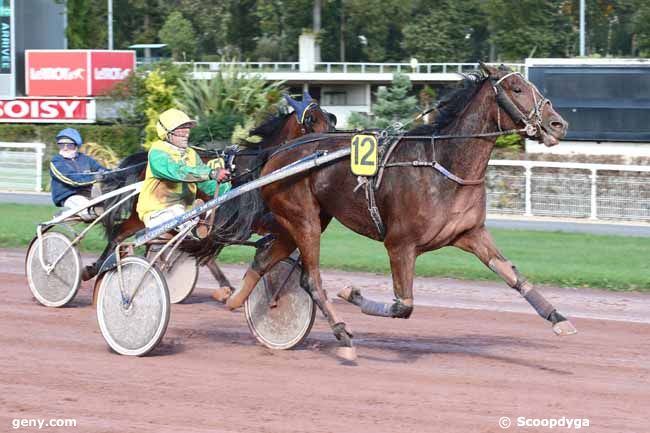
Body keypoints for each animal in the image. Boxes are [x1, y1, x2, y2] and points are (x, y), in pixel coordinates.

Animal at [85, 93, 334, 284]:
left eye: (329, 119)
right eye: (310, 119)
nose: (329, 141)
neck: (260, 166)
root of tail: (143, 162)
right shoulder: (250, 220)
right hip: (147, 216)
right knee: (120, 234)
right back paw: (95, 268)